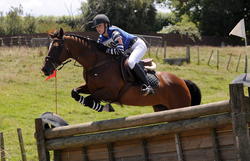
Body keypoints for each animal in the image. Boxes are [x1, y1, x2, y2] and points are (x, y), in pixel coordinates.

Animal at [41, 28, 201, 112]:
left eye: (56, 47)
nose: (45, 69)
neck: (97, 64)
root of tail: (182, 81)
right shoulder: (90, 87)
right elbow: (75, 93)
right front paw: (99, 107)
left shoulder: (109, 91)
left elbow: (90, 98)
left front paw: (102, 107)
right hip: (161, 107)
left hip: (179, 105)